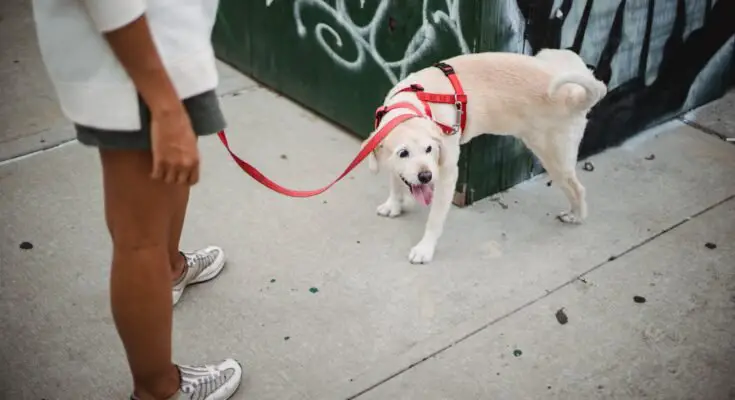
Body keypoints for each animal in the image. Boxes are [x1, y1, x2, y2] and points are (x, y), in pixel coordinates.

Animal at [364, 48, 608, 264]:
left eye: (429, 149)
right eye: (403, 153)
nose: (426, 177)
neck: (413, 103)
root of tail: (574, 96)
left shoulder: (447, 173)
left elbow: (434, 218)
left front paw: (425, 249)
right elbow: (395, 181)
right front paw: (393, 205)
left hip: (554, 157)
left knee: (577, 188)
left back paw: (577, 215)